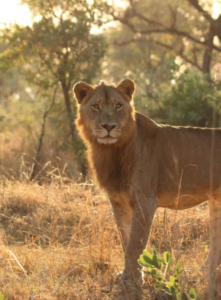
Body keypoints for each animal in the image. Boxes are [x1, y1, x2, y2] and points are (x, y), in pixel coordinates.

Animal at [73, 78, 221, 284]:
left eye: (118, 106)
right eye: (95, 106)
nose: (109, 127)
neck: (111, 151)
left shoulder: (145, 201)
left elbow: (135, 243)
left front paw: (132, 279)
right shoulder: (118, 201)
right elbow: (125, 237)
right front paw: (130, 274)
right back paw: (201, 273)